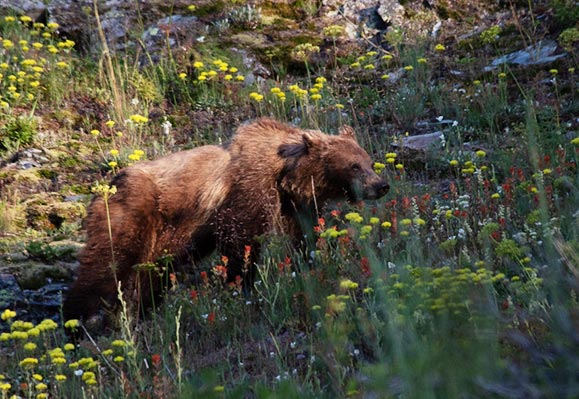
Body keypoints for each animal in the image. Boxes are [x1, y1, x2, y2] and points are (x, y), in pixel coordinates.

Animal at [62, 118, 390, 328]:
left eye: (368, 160)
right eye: (354, 165)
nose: (381, 185)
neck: (286, 174)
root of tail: (104, 188)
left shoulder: (294, 205)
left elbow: (304, 236)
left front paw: (310, 262)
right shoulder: (248, 191)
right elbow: (241, 241)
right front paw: (242, 286)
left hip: (160, 242)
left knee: (149, 277)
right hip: (131, 215)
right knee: (107, 265)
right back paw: (76, 322)